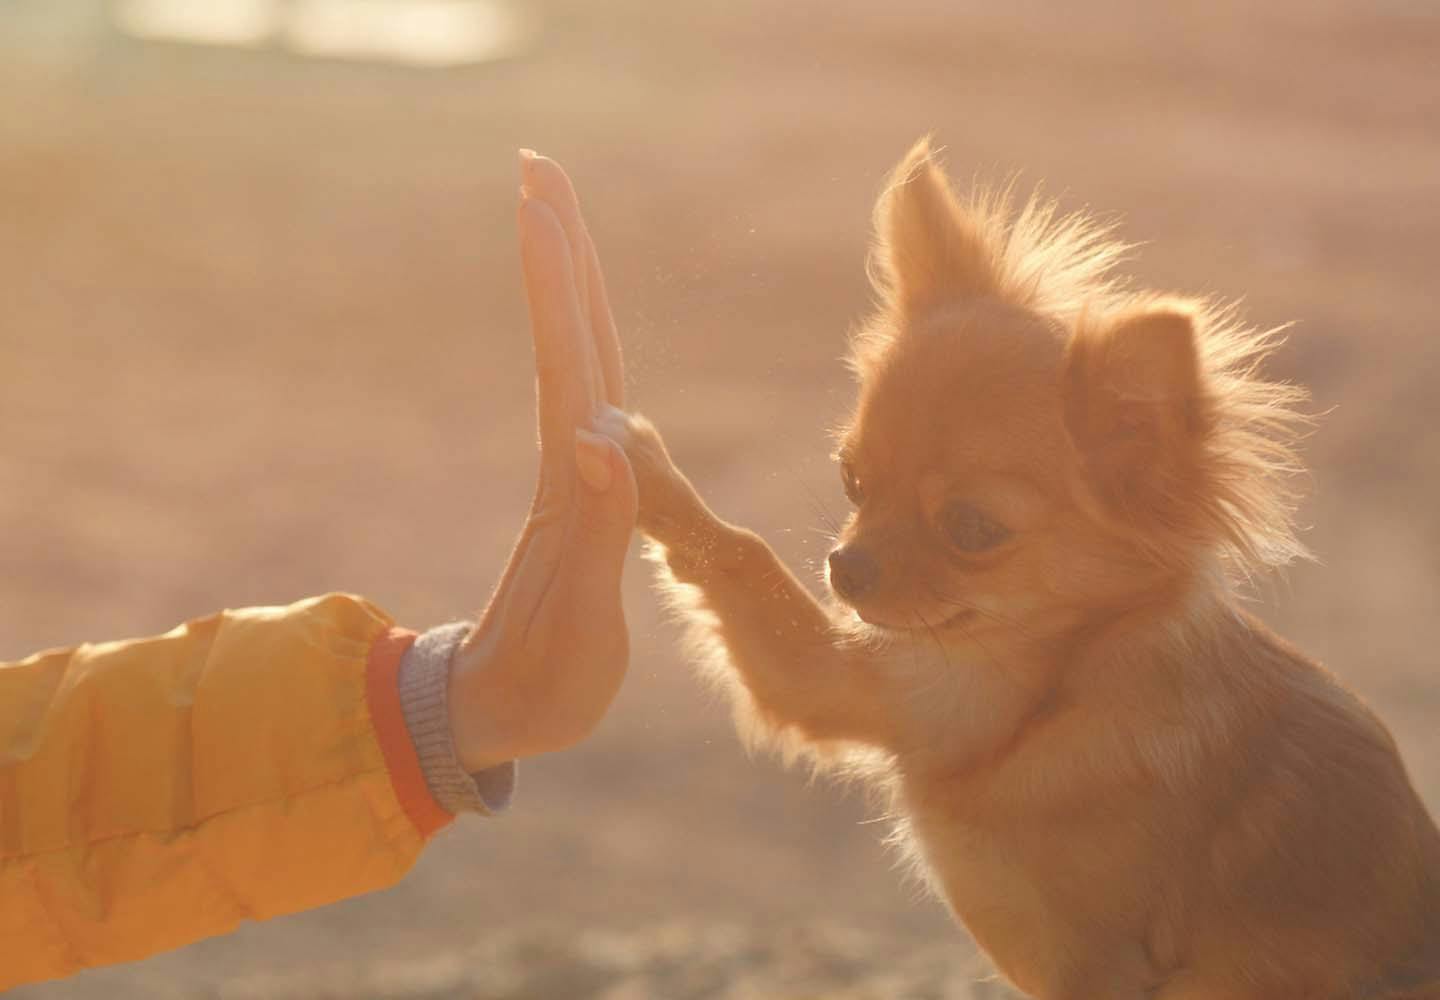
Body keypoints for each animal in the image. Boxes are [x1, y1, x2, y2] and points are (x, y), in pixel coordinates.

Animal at [596, 142, 1440, 1000]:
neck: (1070, 672)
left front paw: (641, 462)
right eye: (852, 482)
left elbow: (742, 551)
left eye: (972, 528)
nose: (845, 567)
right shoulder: (868, 681)